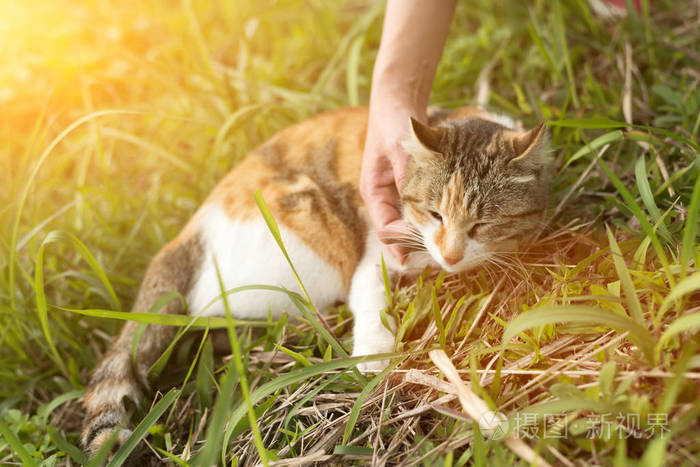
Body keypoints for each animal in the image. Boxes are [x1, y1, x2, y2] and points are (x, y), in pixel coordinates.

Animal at [82, 106, 548, 458]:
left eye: (481, 224)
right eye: (435, 214)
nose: (450, 255)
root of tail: (186, 234)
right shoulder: (378, 244)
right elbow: (370, 296)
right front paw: (374, 355)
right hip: (309, 226)